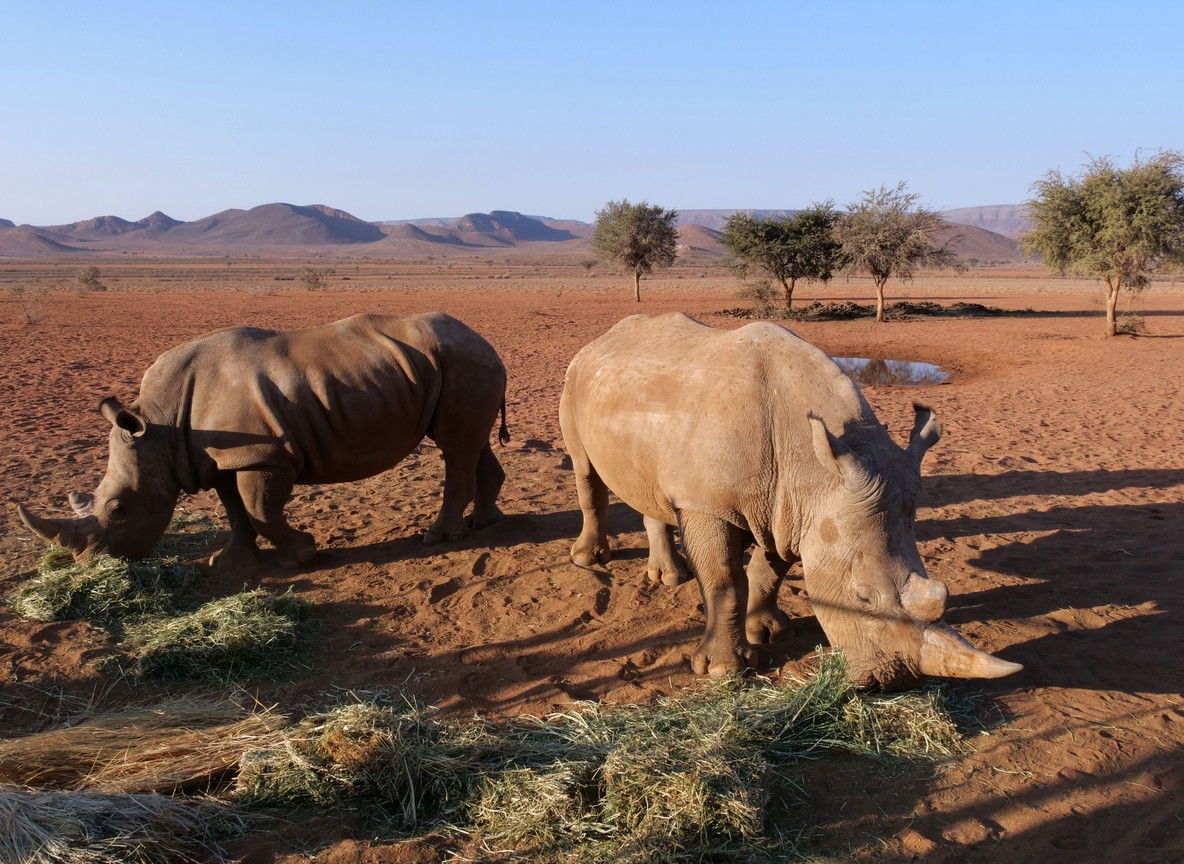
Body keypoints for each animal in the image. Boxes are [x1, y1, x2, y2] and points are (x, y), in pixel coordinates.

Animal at [18, 312, 509, 570]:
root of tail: (484, 339)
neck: (159, 424)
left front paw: (304, 553)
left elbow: (259, 509)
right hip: (458, 364)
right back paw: (484, 523)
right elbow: (236, 511)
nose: (94, 564)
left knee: (455, 448)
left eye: (120, 509)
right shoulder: (220, 456)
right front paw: (228, 563)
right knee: (471, 444)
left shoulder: (262, 454)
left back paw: (439, 539)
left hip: (463, 362)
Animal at [559, 312, 1021, 688]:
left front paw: (770, 633)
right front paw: (723, 670)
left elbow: (770, 571)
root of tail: (602, 338)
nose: (893, 681)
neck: (813, 468)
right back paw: (587, 560)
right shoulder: (708, 505)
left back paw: (669, 578)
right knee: (586, 471)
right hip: (574, 376)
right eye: (862, 598)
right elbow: (725, 580)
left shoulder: (789, 507)